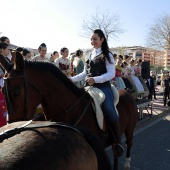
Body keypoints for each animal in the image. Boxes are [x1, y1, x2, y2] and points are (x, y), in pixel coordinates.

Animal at [0, 52, 138, 169]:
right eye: (2, 91)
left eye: (17, 92)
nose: (13, 124)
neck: (71, 109)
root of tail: (126, 92)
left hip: (129, 130)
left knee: (129, 143)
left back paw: (127, 162)